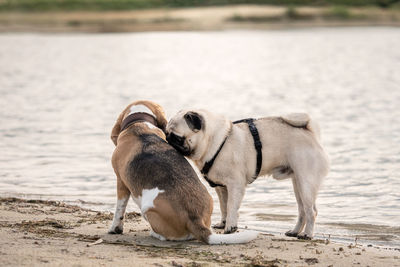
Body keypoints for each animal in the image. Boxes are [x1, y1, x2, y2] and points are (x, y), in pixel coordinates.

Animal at [167, 110, 330, 240]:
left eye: (177, 137)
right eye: (168, 134)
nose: (167, 139)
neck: (213, 142)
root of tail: (309, 130)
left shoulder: (235, 185)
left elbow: (231, 207)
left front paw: (230, 227)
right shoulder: (222, 188)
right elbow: (224, 207)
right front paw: (223, 223)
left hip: (305, 182)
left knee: (311, 212)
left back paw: (307, 234)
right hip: (298, 184)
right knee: (302, 211)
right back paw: (295, 232)